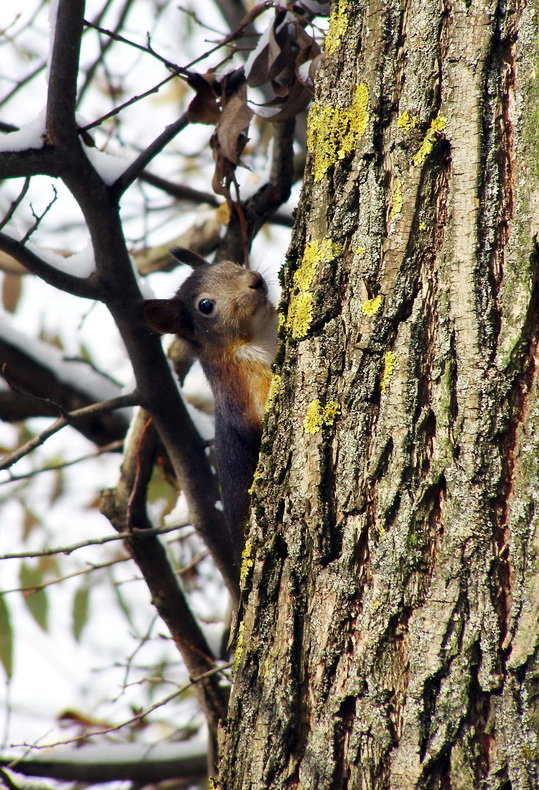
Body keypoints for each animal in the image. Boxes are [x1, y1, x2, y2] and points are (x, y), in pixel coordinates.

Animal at [143, 251, 278, 568]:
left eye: (230, 264)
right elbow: (261, 415)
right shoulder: (241, 389)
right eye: (205, 306)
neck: (260, 334)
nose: (254, 280)